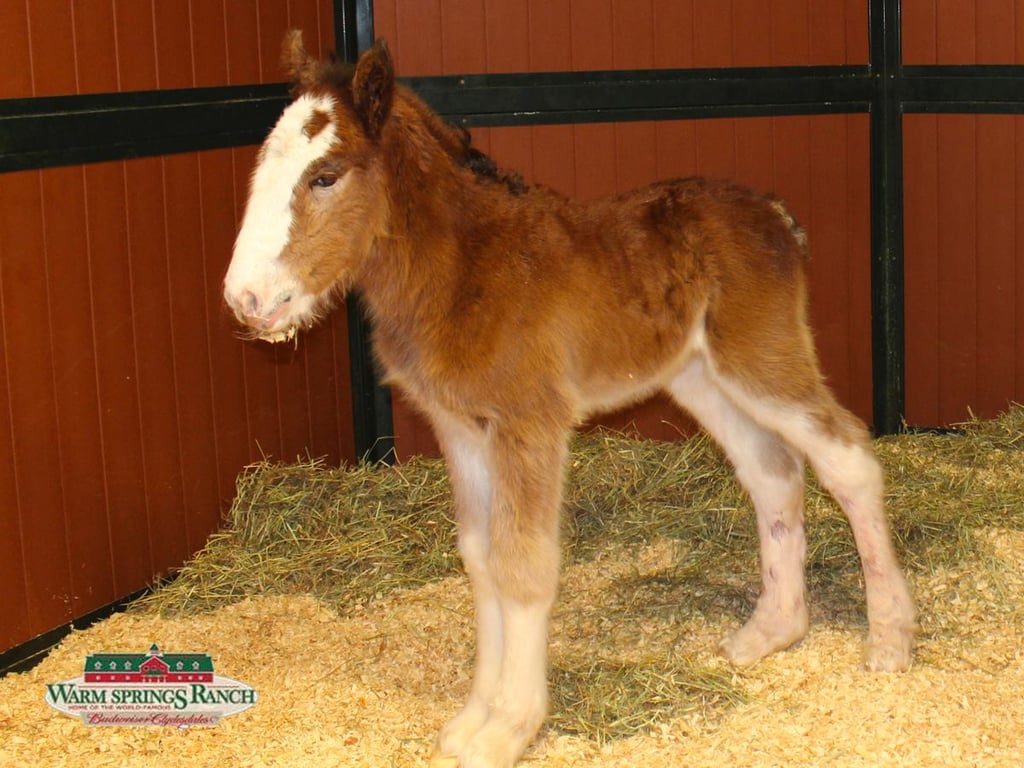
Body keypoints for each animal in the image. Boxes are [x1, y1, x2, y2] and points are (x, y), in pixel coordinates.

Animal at [223, 31, 915, 768]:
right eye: (263, 165)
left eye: (325, 176)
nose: (247, 298)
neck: (465, 270)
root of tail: (775, 213)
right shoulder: (462, 429)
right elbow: (481, 559)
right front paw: (472, 719)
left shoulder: (530, 424)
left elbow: (523, 565)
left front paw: (509, 728)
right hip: (704, 377)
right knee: (773, 473)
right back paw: (769, 633)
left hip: (762, 360)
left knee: (848, 459)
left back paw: (890, 640)